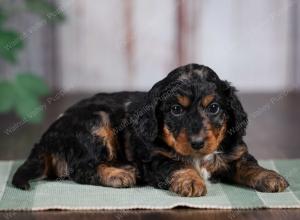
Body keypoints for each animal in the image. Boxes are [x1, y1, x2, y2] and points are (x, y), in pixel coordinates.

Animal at [12, 64, 290, 197]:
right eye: (176, 109)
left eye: (214, 108)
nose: (197, 142)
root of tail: (47, 136)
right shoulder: (155, 159)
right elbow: (177, 165)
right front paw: (190, 181)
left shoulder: (236, 153)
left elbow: (249, 165)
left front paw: (270, 177)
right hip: (96, 123)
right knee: (81, 169)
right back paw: (119, 174)